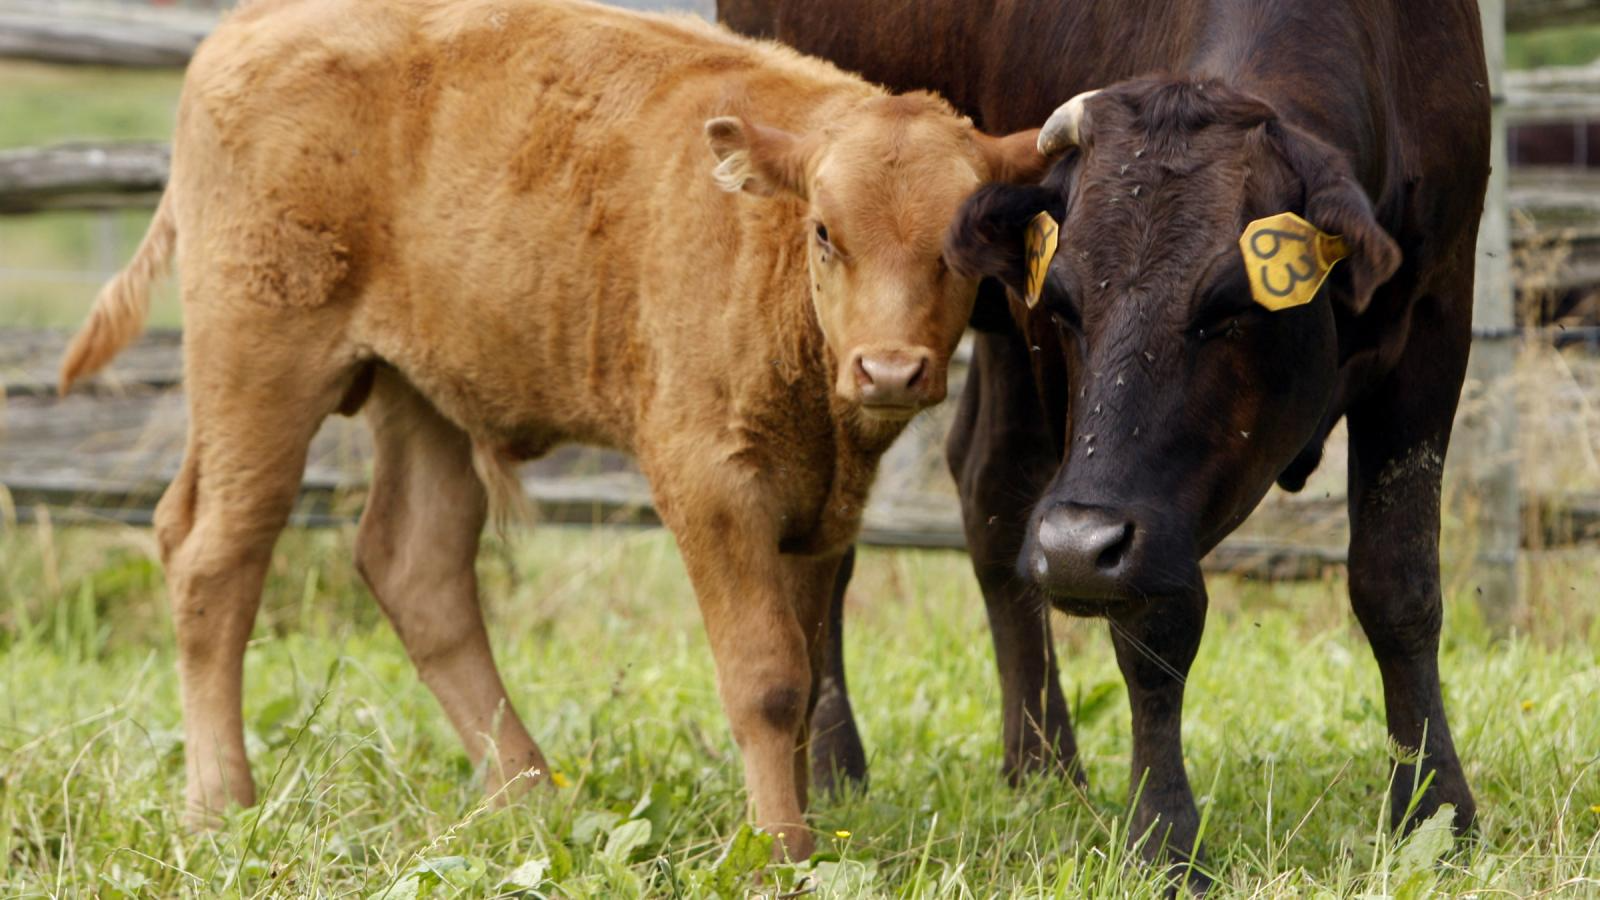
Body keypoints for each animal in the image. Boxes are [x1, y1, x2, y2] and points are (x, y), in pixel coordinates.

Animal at [62, 0, 1056, 851]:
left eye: (961, 244)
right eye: (823, 232)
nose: (888, 368)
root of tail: (249, 27)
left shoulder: (819, 510)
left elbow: (808, 676)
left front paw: (805, 835)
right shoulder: (708, 482)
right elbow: (768, 680)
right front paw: (778, 853)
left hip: (418, 391)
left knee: (416, 565)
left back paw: (533, 799)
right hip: (258, 365)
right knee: (215, 555)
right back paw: (220, 805)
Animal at [732, 0, 1491, 877]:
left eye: (1229, 304)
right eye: (1066, 302)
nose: (1072, 546)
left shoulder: (1437, 321)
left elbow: (1397, 584)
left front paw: (1437, 810)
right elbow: (1152, 624)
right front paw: (1164, 835)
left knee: (989, 487)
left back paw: (1042, 764)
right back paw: (835, 760)